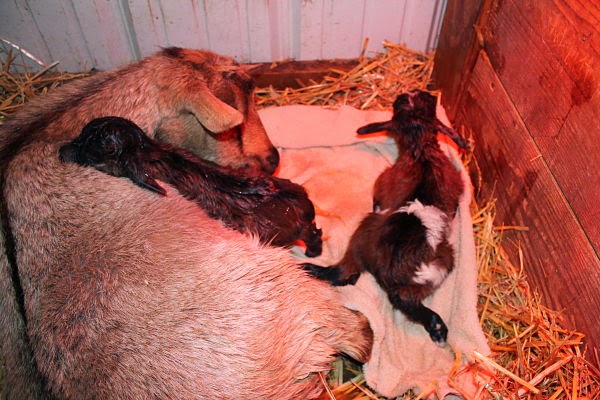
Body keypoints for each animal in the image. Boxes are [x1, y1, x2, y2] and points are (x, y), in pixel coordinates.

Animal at [304, 90, 469, 344]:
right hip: (442, 263)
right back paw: (437, 328)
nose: (409, 93)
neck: (421, 148)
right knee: (403, 300)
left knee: (345, 273)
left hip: (363, 233)